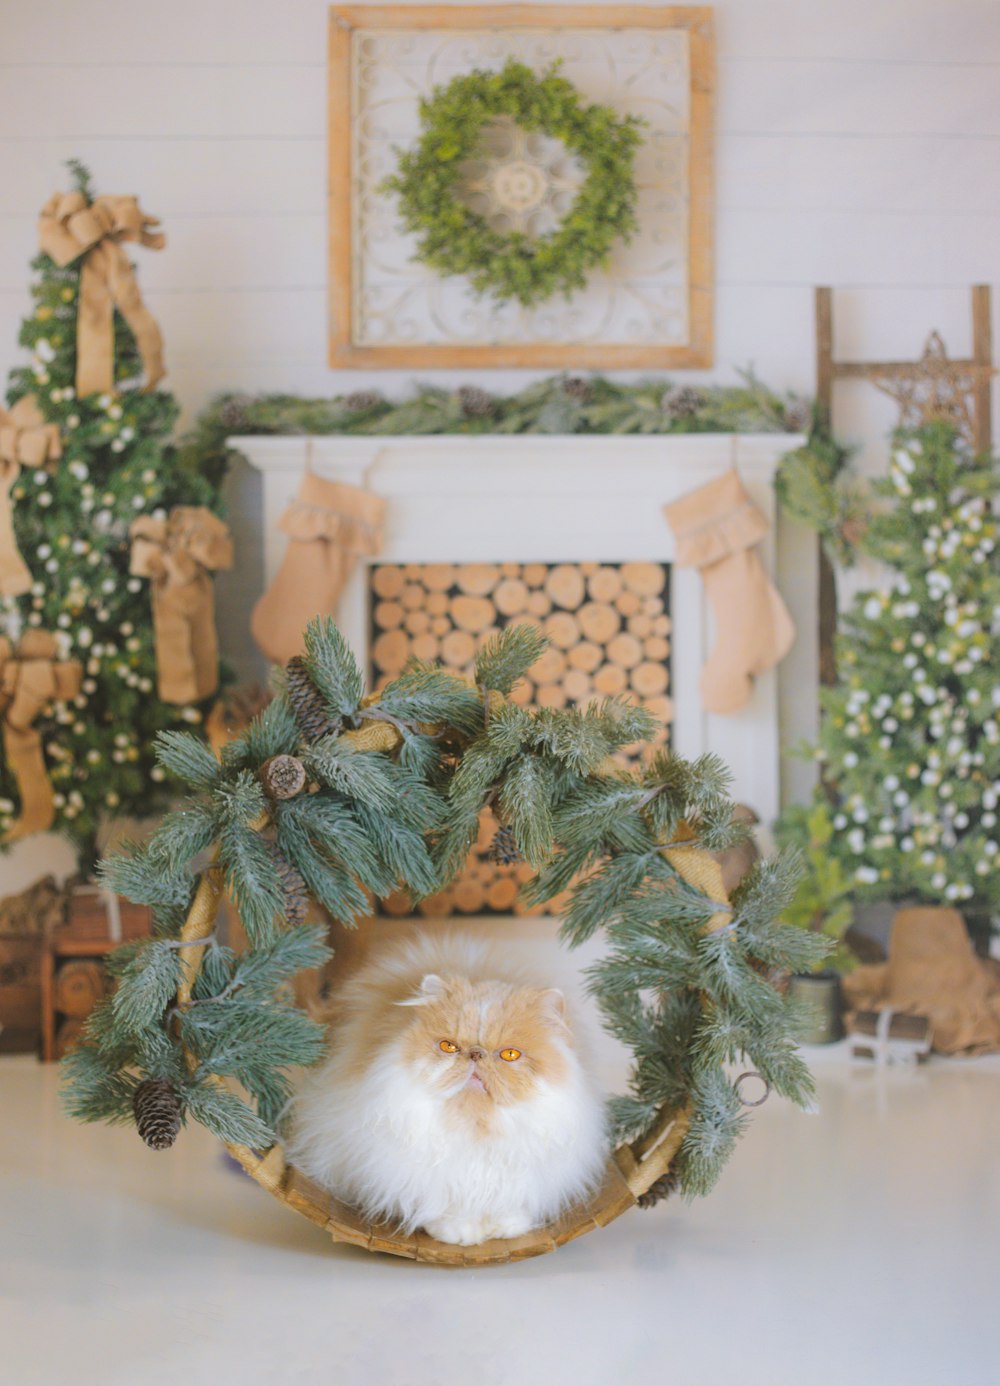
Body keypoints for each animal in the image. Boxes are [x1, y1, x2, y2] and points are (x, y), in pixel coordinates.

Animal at [282, 931, 606, 1247]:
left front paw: (505, 1228)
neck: (474, 1130)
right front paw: (459, 1233)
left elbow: (509, 1205)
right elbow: (444, 1206)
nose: (475, 1054)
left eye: (510, 1055)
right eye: (449, 1047)